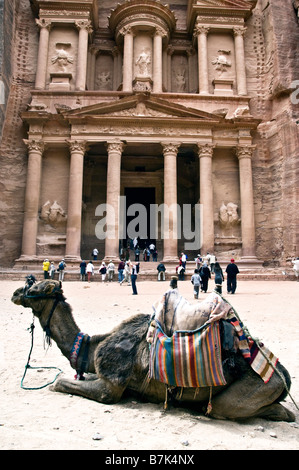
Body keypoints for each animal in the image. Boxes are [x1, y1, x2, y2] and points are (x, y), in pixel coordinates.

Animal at [11, 280, 296, 422]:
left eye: (35, 288)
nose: (15, 292)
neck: (92, 348)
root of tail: (284, 377)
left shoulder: (111, 384)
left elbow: (58, 383)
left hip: (258, 387)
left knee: (247, 409)